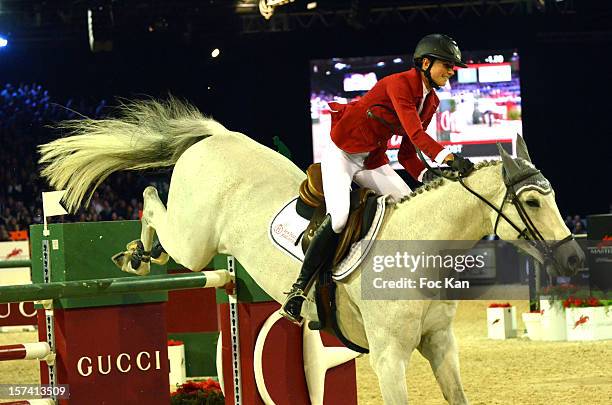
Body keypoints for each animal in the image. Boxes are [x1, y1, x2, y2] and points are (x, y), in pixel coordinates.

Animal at [38, 98, 584, 404]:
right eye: (532, 201)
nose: (575, 260)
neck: (419, 253)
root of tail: (217, 137)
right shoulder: (389, 357)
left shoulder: (440, 345)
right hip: (194, 244)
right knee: (153, 202)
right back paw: (135, 255)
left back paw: (136, 253)